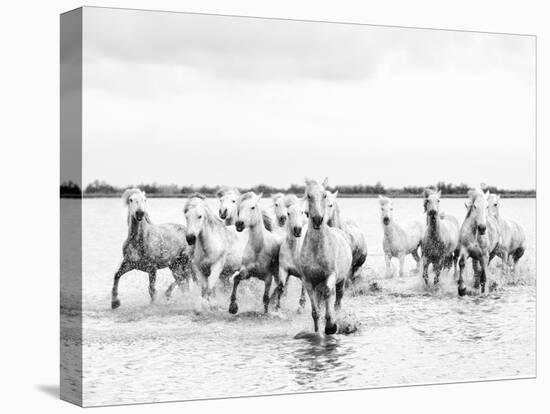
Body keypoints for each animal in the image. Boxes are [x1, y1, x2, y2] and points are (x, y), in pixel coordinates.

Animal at [302, 180, 354, 334]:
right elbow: (315, 311)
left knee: (337, 301)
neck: (316, 249)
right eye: (309, 196)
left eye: (324, 195)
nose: (317, 220)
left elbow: (328, 293)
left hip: (342, 281)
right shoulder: (308, 281)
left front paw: (331, 326)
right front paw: (317, 331)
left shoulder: (330, 276)